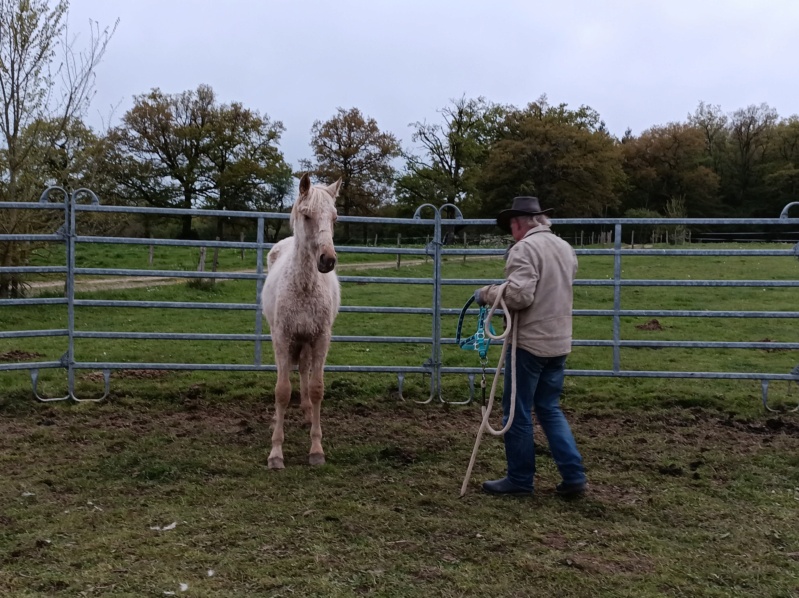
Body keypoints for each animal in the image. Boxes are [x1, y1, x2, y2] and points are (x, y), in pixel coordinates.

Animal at [260, 173, 340, 468]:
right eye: (306, 215)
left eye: (335, 217)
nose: (327, 260)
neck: (304, 286)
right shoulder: (283, 336)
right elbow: (282, 391)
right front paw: (276, 453)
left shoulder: (320, 338)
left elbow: (316, 388)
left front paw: (316, 450)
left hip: (305, 340)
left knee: (304, 370)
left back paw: (306, 413)